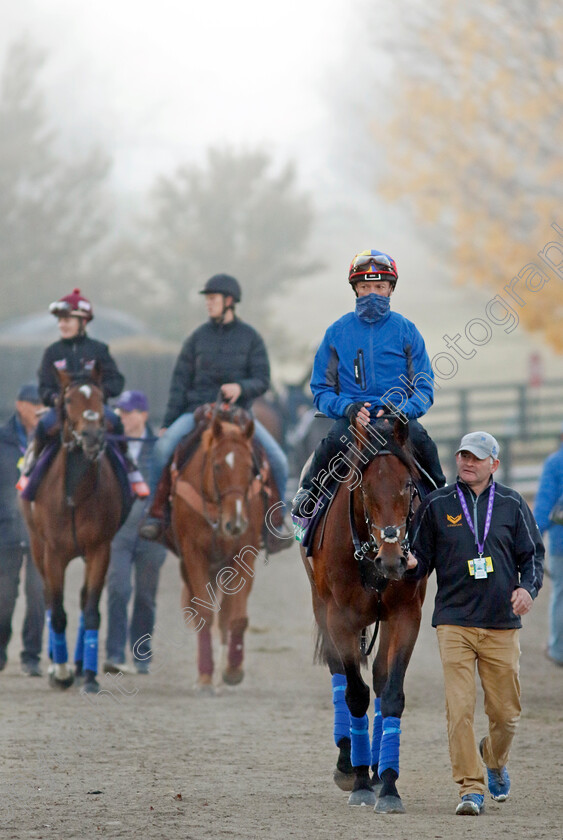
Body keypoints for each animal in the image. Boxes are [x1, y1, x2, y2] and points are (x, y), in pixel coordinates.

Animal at [20, 370, 125, 692]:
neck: (75, 496)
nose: (92, 436)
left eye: (101, 397)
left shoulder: (100, 549)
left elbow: (90, 611)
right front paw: (61, 672)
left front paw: (88, 675)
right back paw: (58, 665)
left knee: (80, 601)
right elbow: (57, 613)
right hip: (37, 545)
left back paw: (79, 666)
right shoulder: (53, 552)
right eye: (67, 400)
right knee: (49, 600)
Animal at [169, 406, 268, 688]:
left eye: (250, 467)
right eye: (217, 466)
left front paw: (233, 669)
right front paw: (205, 675)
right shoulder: (193, 555)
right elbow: (204, 612)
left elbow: (236, 616)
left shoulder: (244, 555)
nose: (235, 523)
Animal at [300, 414, 428, 812]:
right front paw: (357, 781)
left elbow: (392, 693)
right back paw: (348, 762)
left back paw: (373, 768)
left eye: (408, 485)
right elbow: (354, 693)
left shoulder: (406, 615)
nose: (393, 559)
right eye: (364, 487)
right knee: (339, 674)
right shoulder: (339, 617)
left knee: (381, 678)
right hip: (320, 605)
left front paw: (387, 785)